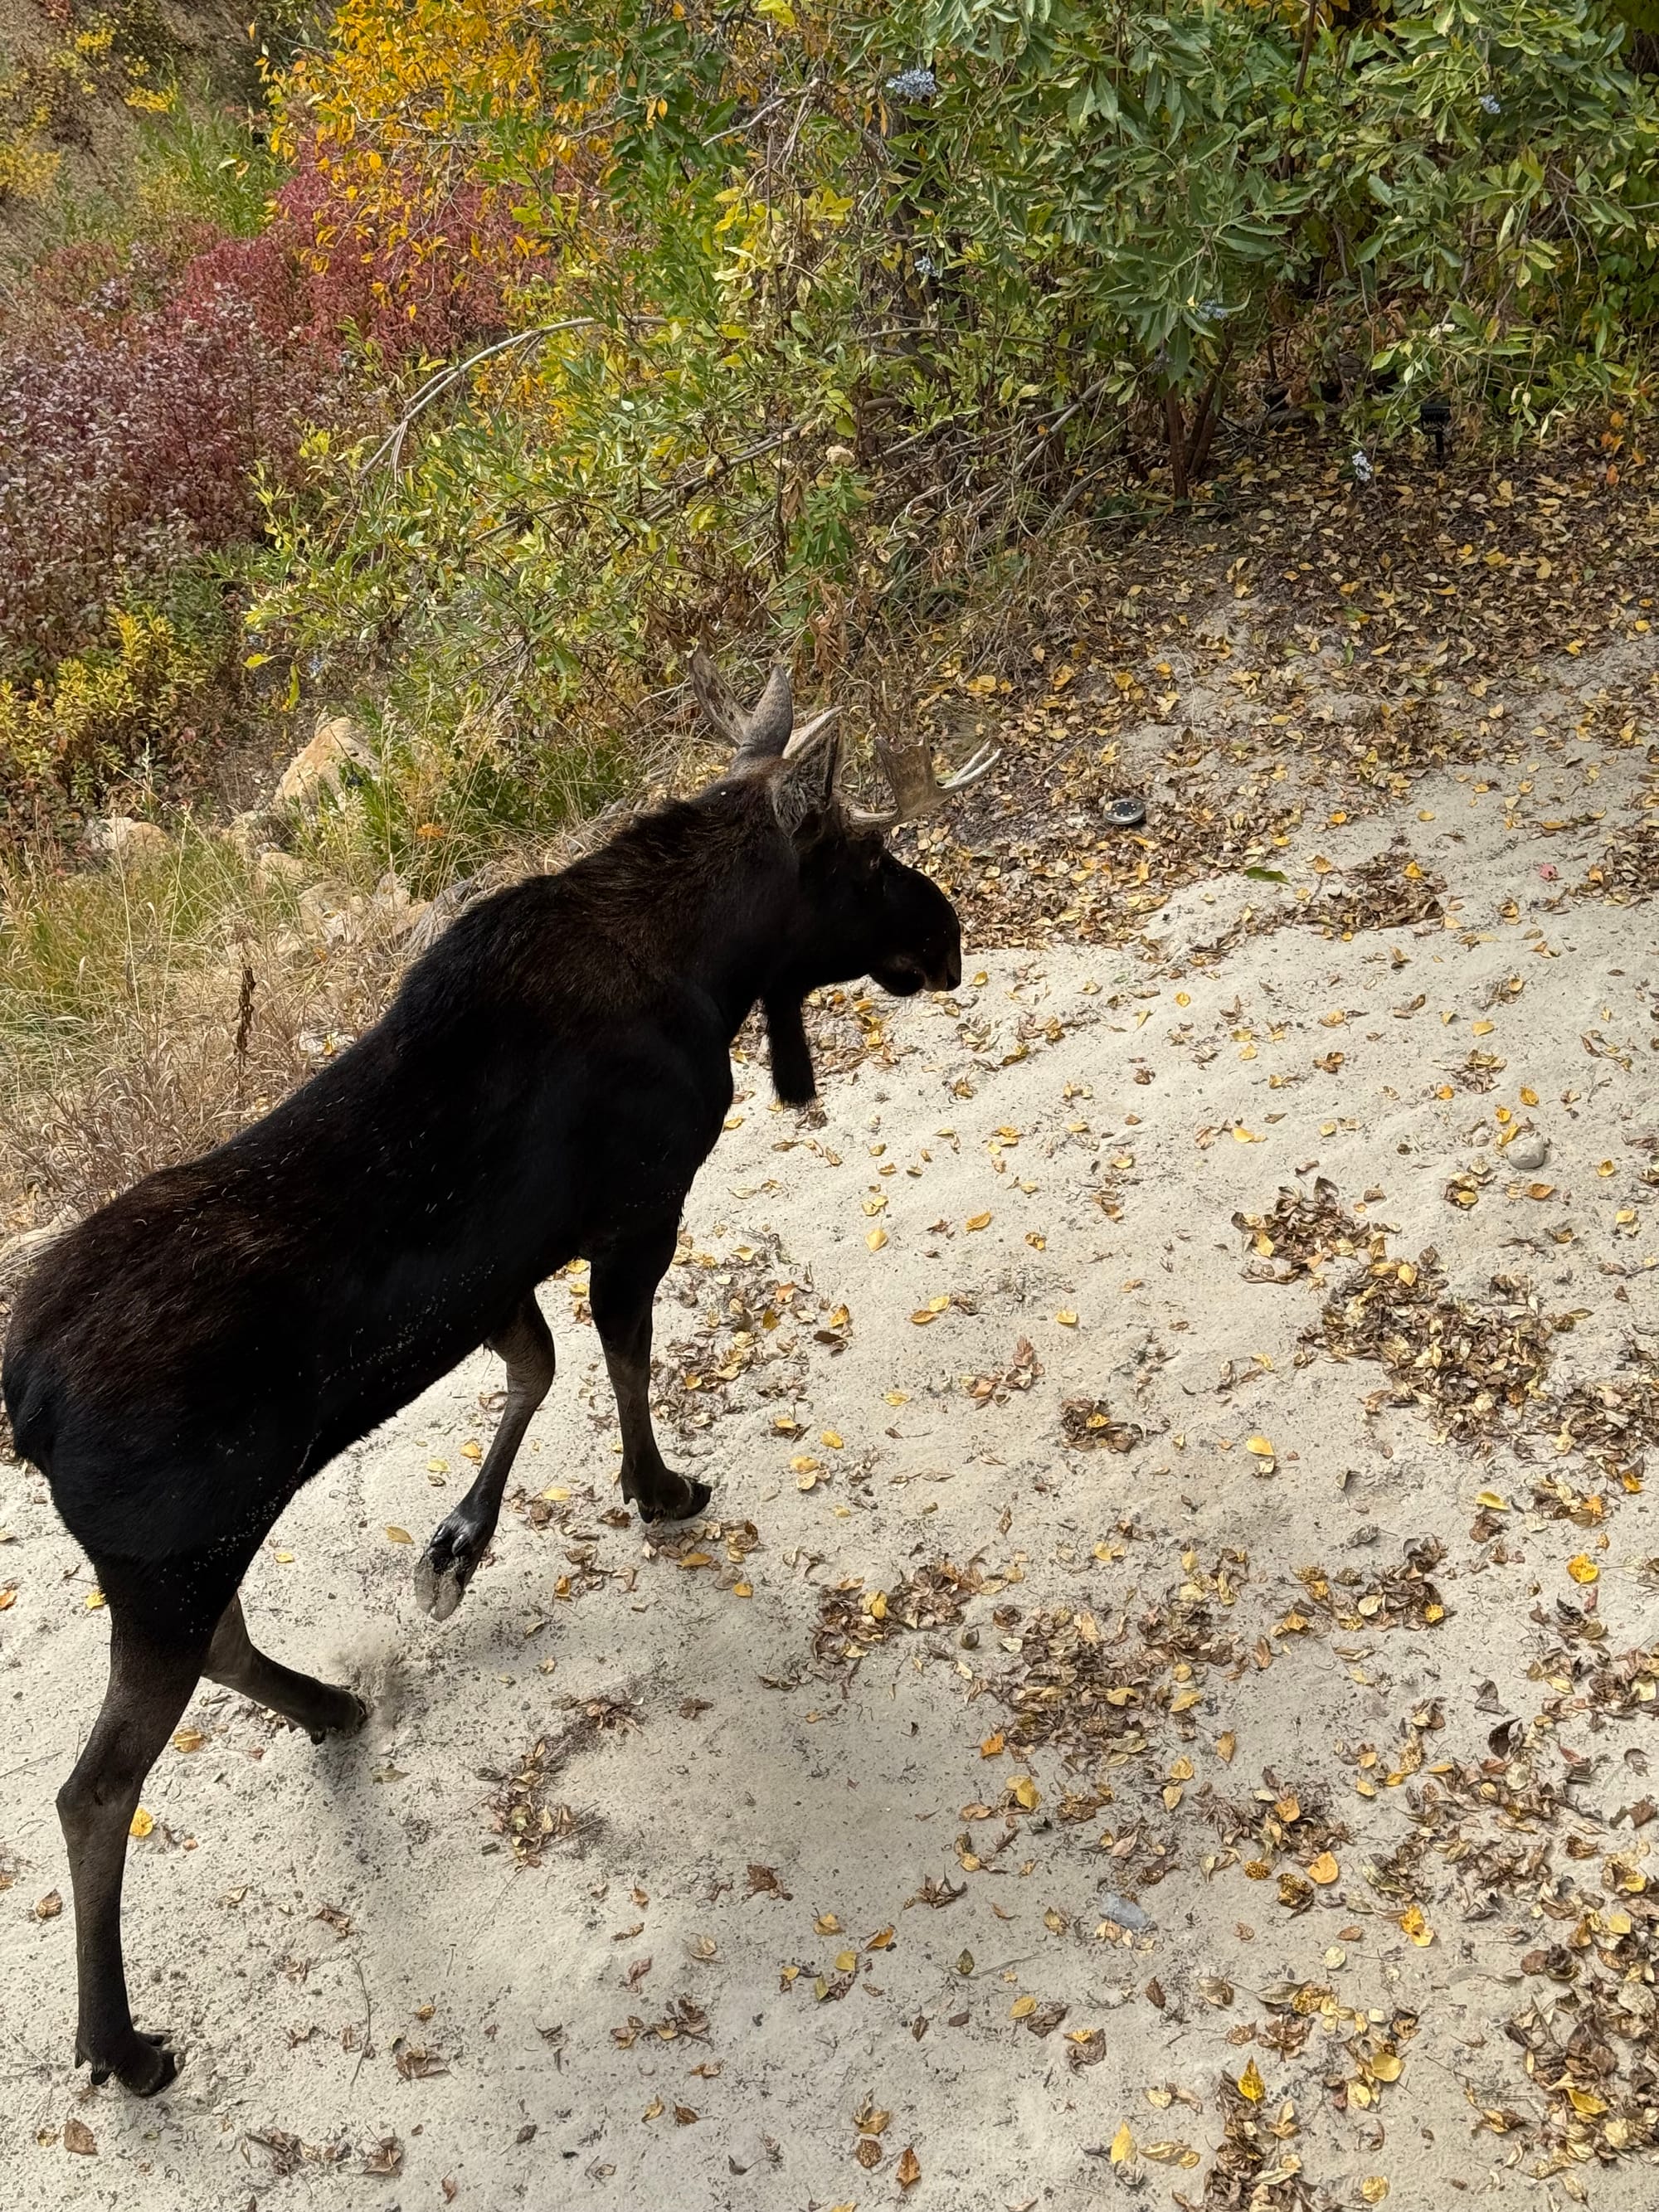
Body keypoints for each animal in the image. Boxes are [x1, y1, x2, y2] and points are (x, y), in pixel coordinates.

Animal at [1, 654, 995, 2097]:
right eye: (870, 854)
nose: (953, 935)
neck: (714, 963)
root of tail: (24, 1404)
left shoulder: (497, 1272)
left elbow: (535, 1367)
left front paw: (456, 1544)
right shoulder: (642, 1202)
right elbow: (622, 1355)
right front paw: (656, 1487)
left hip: (183, 1559)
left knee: (226, 1650)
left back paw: (333, 1701)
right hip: (174, 1556)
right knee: (96, 1788)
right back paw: (119, 2042)